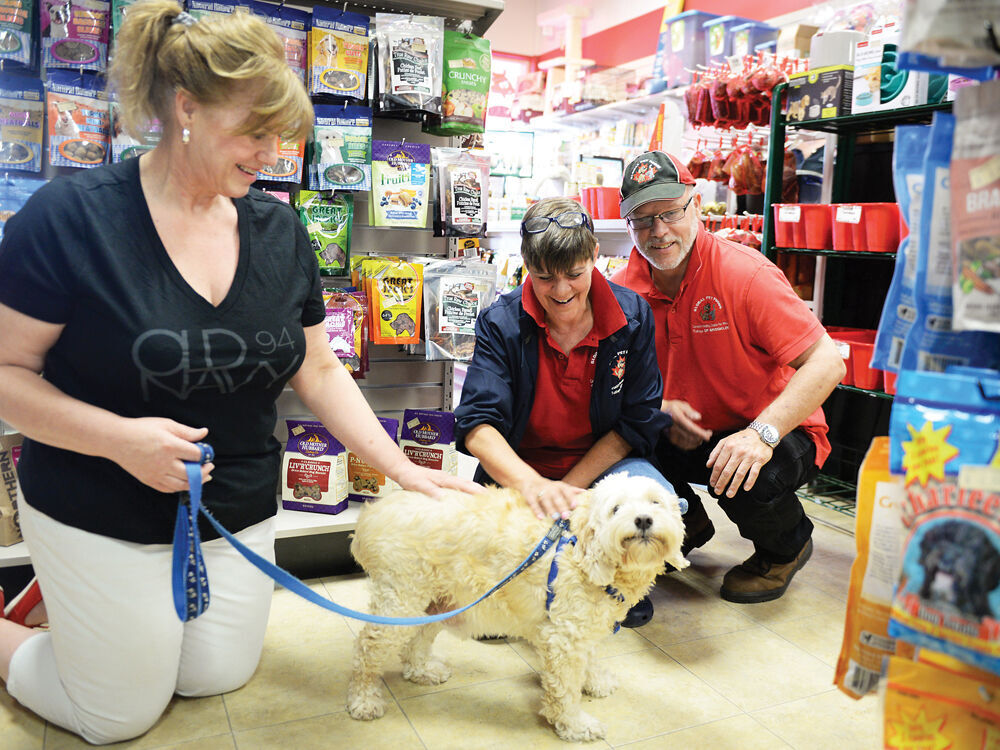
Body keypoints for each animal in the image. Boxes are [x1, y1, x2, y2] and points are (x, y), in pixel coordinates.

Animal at [346, 472, 688, 744]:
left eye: (655, 502)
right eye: (616, 509)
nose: (643, 519)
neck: (582, 554)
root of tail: (370, 515)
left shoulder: (583, 628)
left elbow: (589, 658)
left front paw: (595, 681)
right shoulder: (564, 638)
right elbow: (565, 690)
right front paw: (575, 724)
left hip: (437, 599)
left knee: (415, 640)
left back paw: (422, 670)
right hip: (400, 600)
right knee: (365, 650)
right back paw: (364, 699)